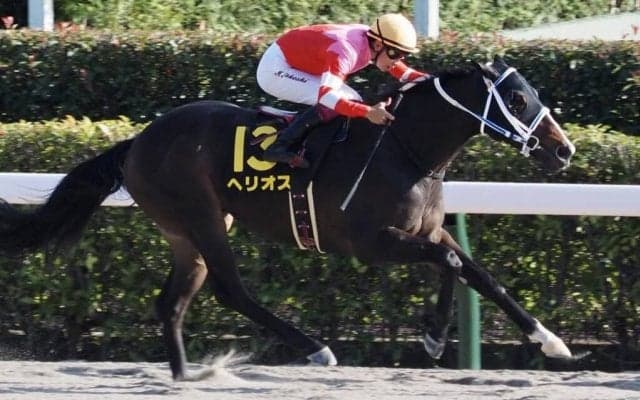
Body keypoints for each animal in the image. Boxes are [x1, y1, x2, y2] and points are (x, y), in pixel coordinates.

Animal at [0, 57, 575, 380]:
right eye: (517, 98)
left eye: (535, 95)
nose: (563, 150)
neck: (404, 149)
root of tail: (137, 142)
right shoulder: (371, 242)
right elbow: (452, 266)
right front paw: (435, 335)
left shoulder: (426, 231)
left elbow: (474, 271)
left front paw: (547, 339)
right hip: (201, 215)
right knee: (230, 290)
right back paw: (316, 348)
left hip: (187, 231)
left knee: (173, 302)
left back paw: (185, 376)